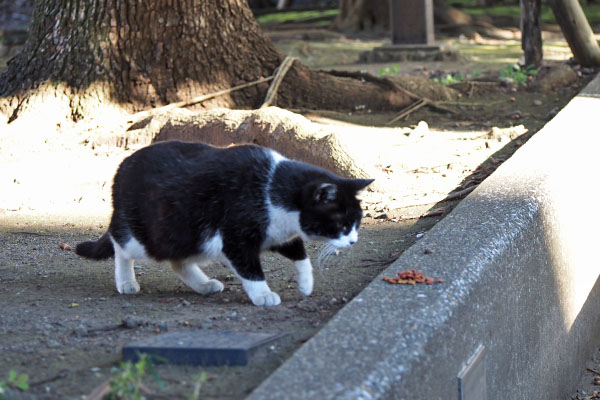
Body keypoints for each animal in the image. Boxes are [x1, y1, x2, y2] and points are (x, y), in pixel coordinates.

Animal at [75, 141, 372, 306]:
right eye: (343, 224)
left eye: (357, 222)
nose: (354, 241)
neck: (272, 189)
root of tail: (121, 166)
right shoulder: (237, 236)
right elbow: (251, 269)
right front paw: (263, 295)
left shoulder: (276, 232)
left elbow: (299, 252)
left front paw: (306, 283)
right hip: (148, 234)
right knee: (120, 243)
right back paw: (126, 281)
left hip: (189, 236)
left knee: (178, 261)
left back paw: (204, 285)